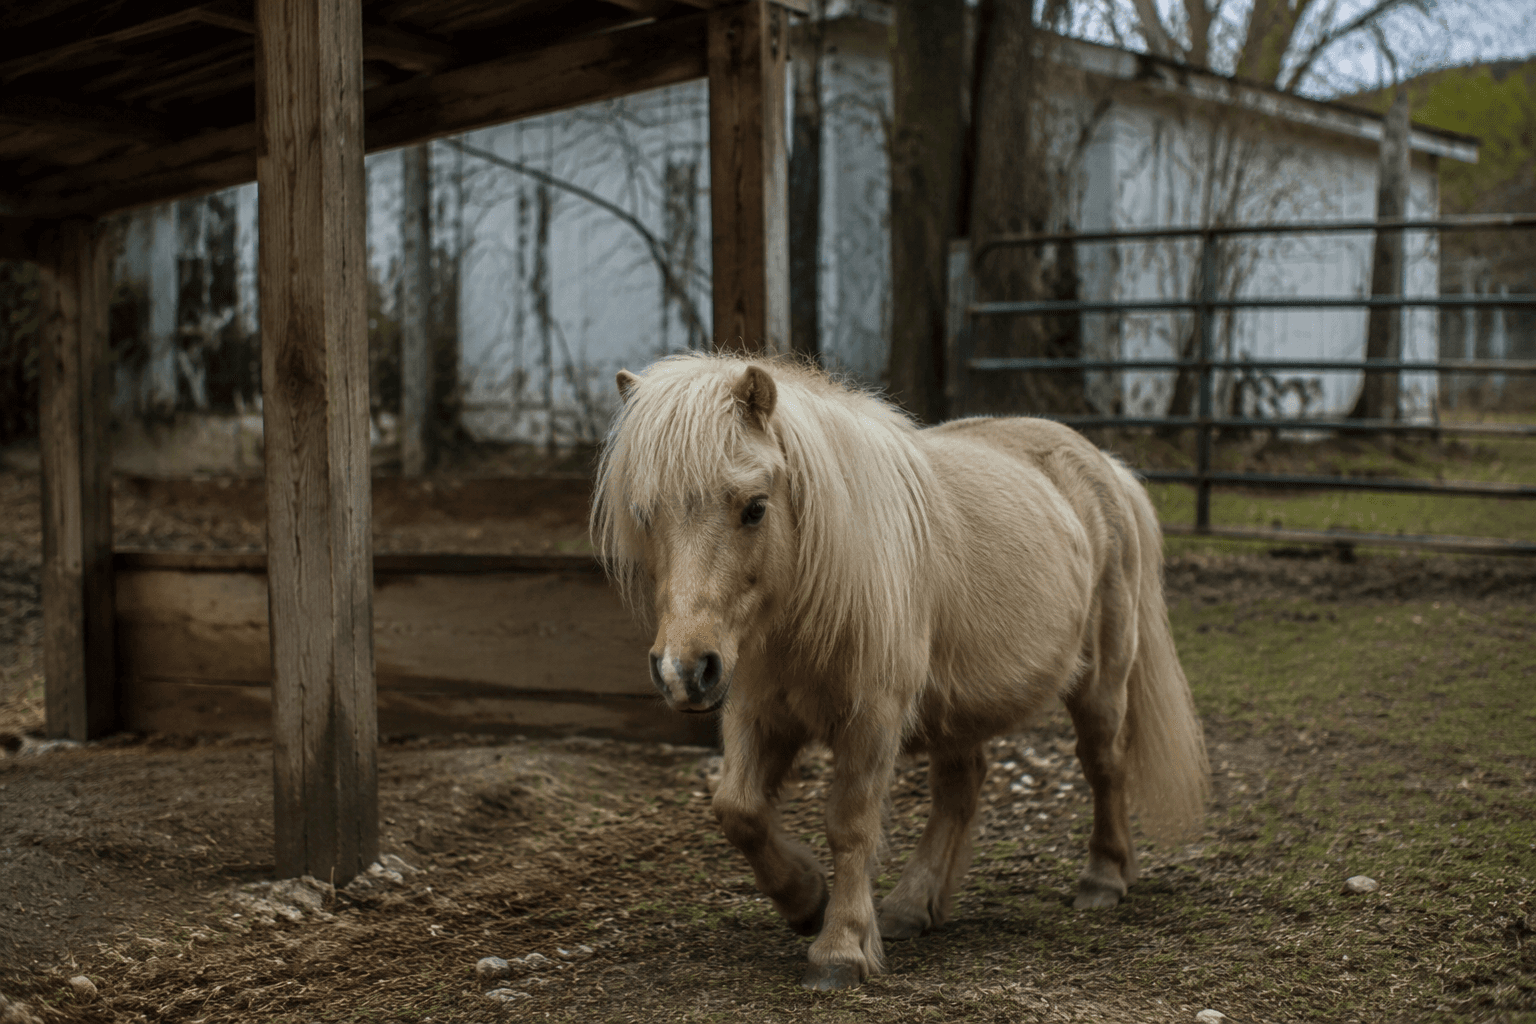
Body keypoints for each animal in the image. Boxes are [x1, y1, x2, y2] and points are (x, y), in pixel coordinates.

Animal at [591, 353, 1208, 991]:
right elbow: (737, 810)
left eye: (754, 507)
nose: (684, 671)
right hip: (959, 710)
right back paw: (912, 907)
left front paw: (840, 947)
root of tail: (1104, 466)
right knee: (961, 789)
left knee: (1102, 763)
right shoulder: (757, 713)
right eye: (644, 513)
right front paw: (805, 899)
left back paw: (1103, 878)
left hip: (1101, 680)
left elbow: (850, 823)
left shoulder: (872, 719)